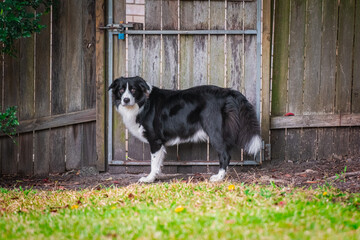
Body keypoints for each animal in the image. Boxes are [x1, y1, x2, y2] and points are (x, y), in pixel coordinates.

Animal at [107, 76, 262, 183]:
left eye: (133, 90)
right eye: (121, 90)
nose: (126, 100)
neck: (143, 103)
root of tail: (226, 91)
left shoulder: (155, 140)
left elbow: (153, 163)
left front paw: (149, 179)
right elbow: (158, 163)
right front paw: (156, 176)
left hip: (214, 131)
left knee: (225, 155)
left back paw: (219, 177)